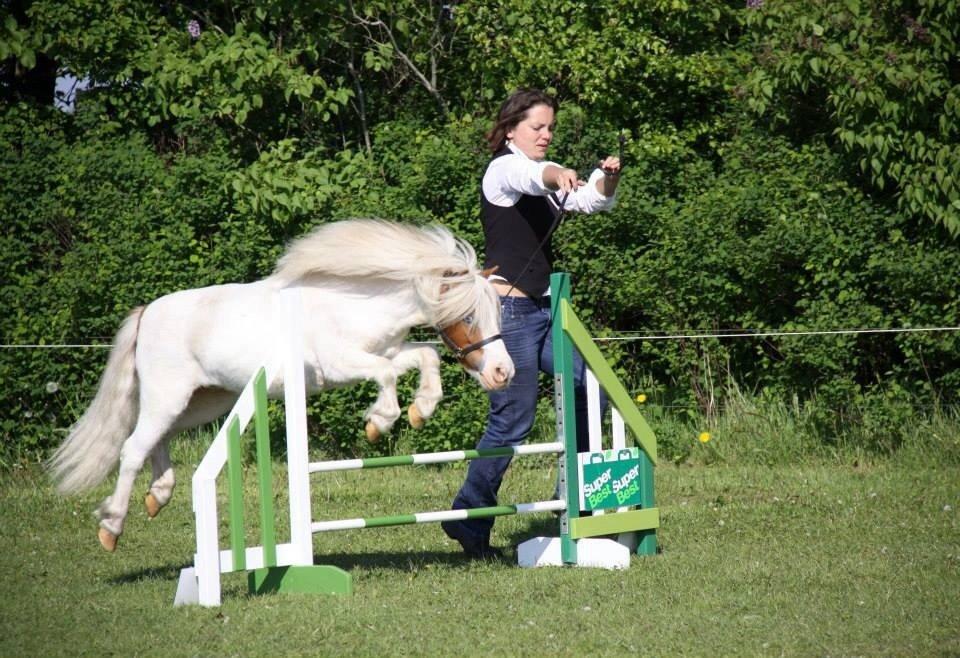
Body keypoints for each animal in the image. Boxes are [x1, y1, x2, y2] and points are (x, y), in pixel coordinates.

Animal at [48, 219, 512, 548]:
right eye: (469, 316)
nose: (502, 373)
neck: (358, 304)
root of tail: (147, 312)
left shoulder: (389, 350)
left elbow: (424, 356)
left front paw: (421, 410)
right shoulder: (342, 365)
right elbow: (386, 376)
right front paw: (380, 422)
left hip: (205, 401)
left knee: (157, 439)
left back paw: (158, 495)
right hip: (170, 397)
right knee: (132, 448)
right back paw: (112, 527)